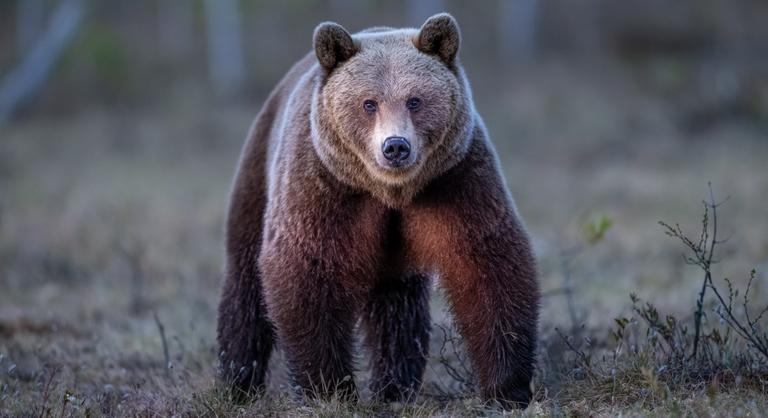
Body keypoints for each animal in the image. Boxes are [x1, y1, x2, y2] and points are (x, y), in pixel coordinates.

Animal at [216, 13, 540, 408]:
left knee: (397, 306)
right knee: (244, 282)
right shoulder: (323, 186)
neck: (389, 191)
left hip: (395, 251)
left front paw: (507, 387)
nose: (395, 146)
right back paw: (238, 381)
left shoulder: (456, 179)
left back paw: (395, 386)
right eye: (369, 103)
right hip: (257, 173)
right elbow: (306, 268)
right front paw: (328, 388)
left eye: (415, 100)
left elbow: (486, 262)